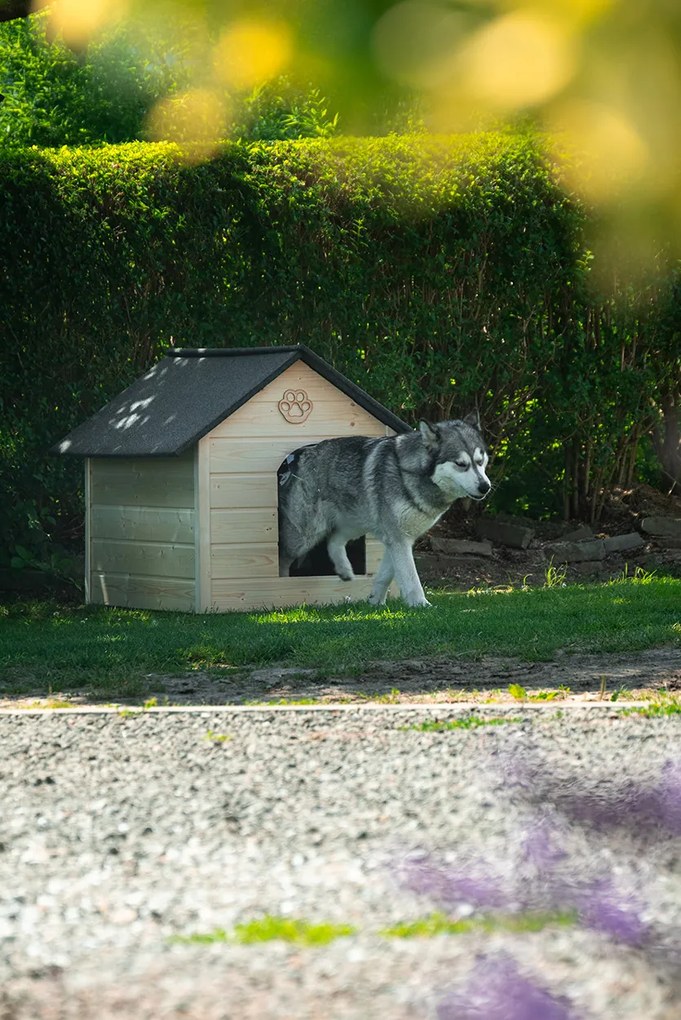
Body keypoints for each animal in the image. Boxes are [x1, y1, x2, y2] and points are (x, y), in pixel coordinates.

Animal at [277, 414, 489, 603]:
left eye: (480, 461)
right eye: (461, 464)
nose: (485, 486)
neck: (411, 474)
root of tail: (303, 454)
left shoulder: (399, 539)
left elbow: (385, 575)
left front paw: (375, 601)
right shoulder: (398, 539)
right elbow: (411, 578)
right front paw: (421, 604)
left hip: (354, 525)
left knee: (333, 540)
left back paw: (345, 570)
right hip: (304, 535)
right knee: (284, 556)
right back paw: (282, 583)